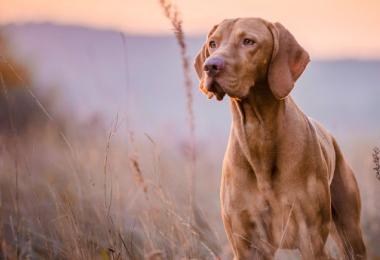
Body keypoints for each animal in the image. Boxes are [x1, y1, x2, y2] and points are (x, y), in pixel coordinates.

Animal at [194, 17, 366, 258]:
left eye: (248, 41)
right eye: (212, 43)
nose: (210, 66)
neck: (258, 133)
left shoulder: (310, 238)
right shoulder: (245, 244)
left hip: (350, 232)